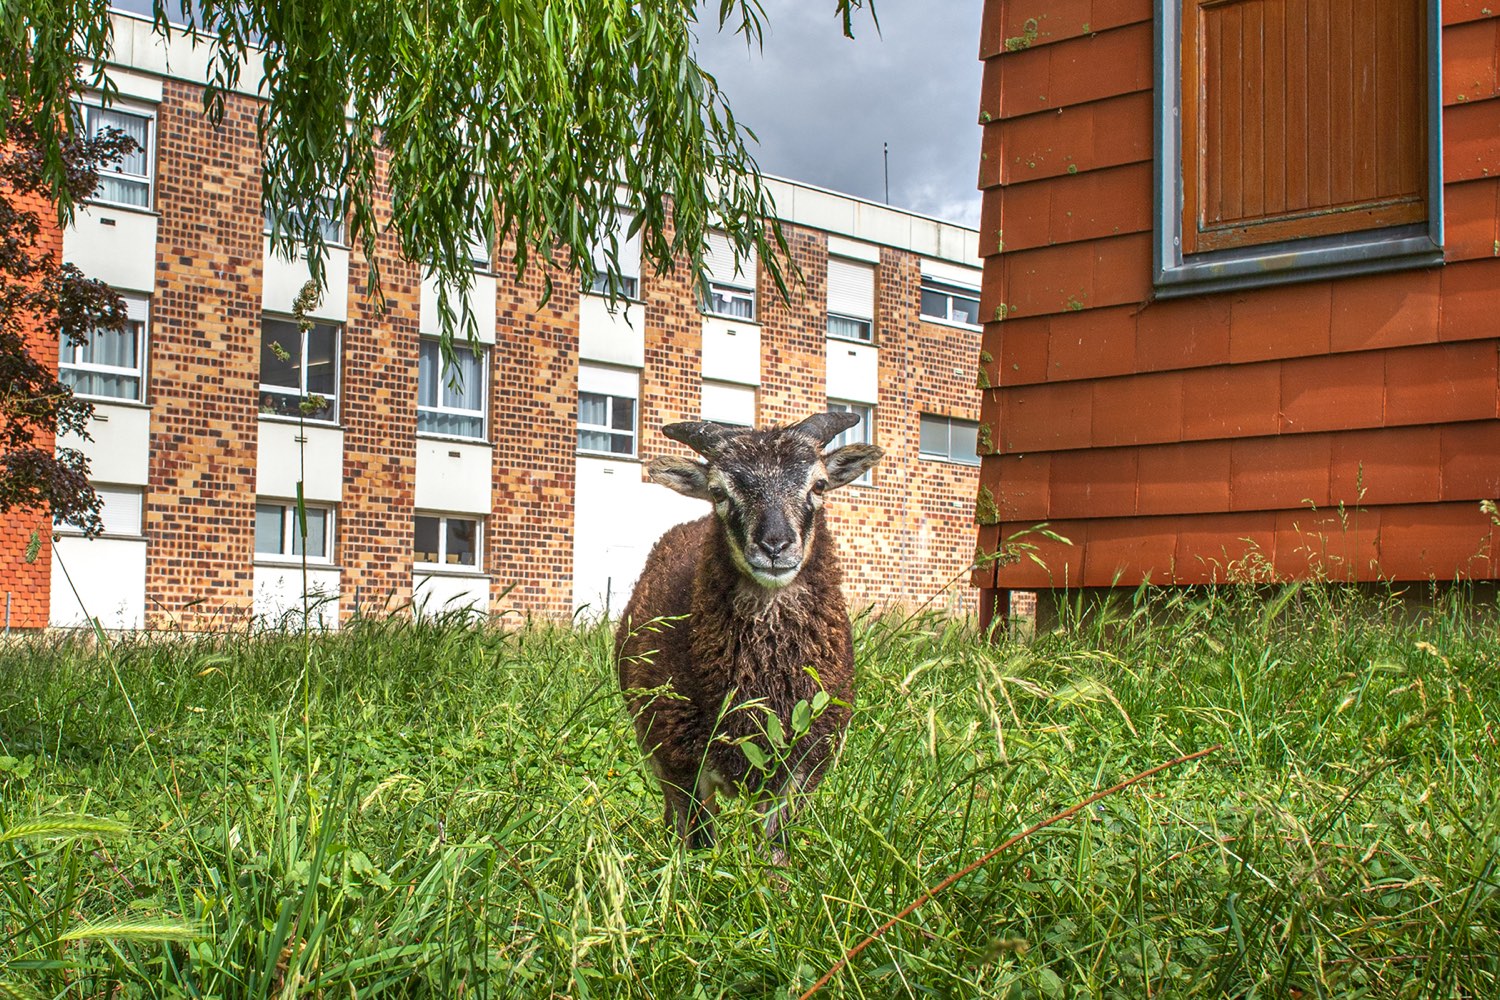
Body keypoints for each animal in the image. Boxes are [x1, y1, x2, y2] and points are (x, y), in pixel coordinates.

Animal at [615, 411, 884, 854]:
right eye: (718, 491)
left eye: (819, 484)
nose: (775, 546)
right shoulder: (679, 762)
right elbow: (699, 842)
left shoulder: (803, 766)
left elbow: (775, 849)